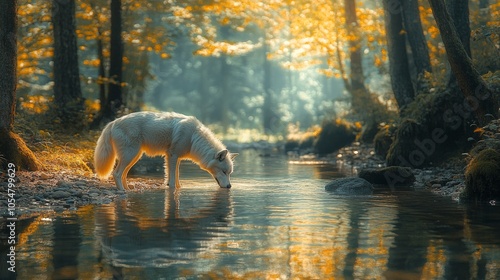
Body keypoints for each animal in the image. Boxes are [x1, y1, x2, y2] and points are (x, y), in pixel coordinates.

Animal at [94, 111, 238, 190]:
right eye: (224, 172)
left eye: (229, 173)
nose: (230, 186)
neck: (193, 138)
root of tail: (113, 122)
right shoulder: (172, 156)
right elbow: (172, 181)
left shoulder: (175, 158)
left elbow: (176, 179)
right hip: (130, 155)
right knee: (117, 173)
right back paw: (122, 191)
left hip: (134, 157)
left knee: (123, 174)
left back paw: (128, 189)